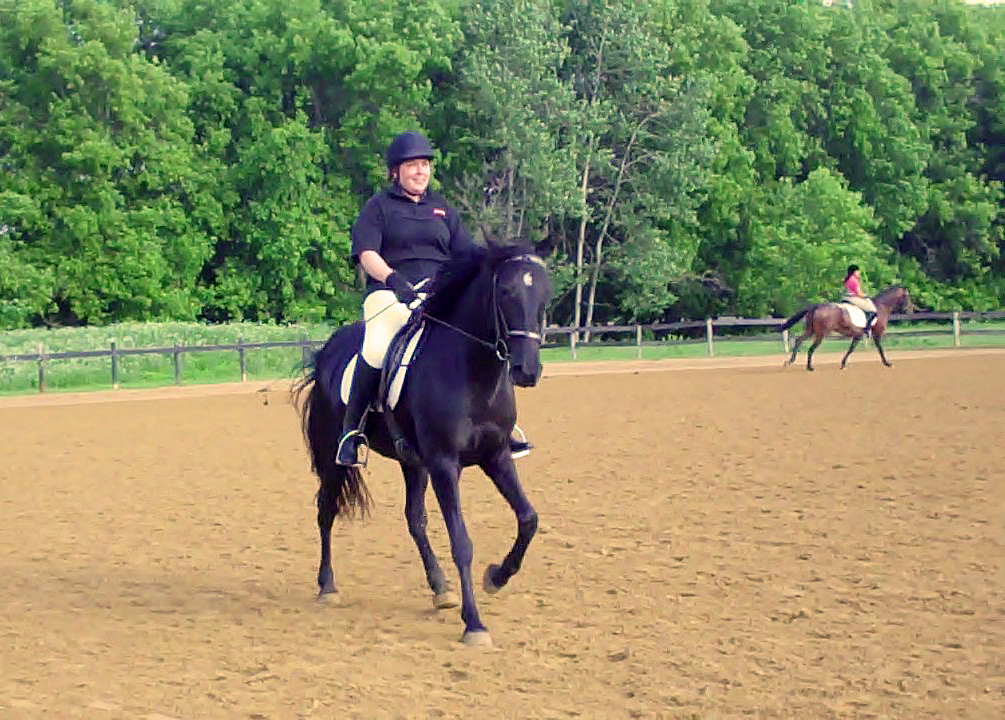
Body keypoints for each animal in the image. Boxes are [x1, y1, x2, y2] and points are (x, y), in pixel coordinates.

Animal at [294, 242, 552, 647]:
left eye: (545, 293)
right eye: (507, 292)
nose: (527, 370)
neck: (471, 373)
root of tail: (327, 350)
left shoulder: (496, 456)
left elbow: (528, 519)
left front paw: (496, 577)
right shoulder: (445, 464)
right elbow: (461, 542)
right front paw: (474, 624)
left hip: (412, 462)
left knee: (414, 518)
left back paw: (440, 588)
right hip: (334, 459)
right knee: (326, 510)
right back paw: (327, 586)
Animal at [779, 286, 911, 371]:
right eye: (907, 296)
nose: (909, 309)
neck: (881, 307)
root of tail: (816, 306)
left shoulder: (858, 336)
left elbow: (850, 349)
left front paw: (843, 365)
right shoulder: (877, 334)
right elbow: (880, 349)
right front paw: (888, 363)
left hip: (810, 331)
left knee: (799, 340)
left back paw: (790, 362)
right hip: (820, 334)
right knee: (811, 348)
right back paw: (809, 367)